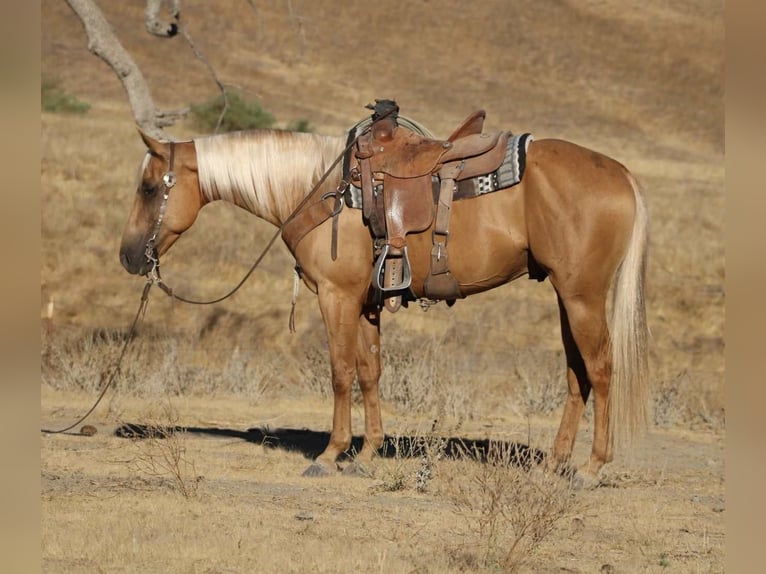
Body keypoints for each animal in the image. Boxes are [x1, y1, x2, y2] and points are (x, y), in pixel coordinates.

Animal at [119, 114, 649, 489]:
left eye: (149, 187)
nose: (128, 255)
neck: (320, 189)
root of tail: (622, 174)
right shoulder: (366, 303)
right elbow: (370, 371)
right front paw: (368, 452)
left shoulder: (336, 298)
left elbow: (339, 373)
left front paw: (330, 455)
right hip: (567, 297)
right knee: (577, 376)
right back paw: (552, 464)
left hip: (582, 297)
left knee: (601, 370)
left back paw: (591, 468)